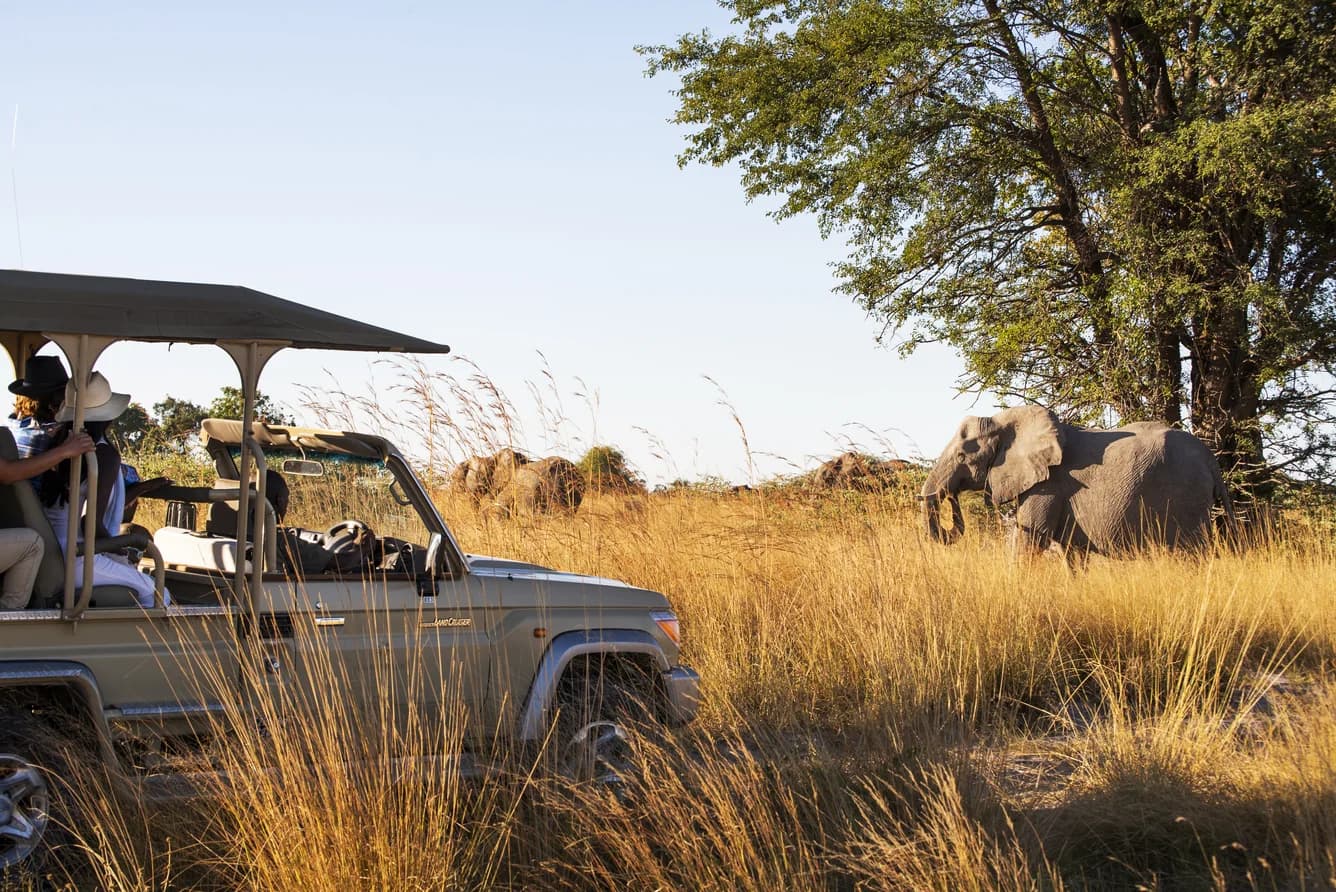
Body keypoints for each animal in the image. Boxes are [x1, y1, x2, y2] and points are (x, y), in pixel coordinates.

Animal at [920, 406, 1235, 558]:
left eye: (962, 455)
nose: (951, 495)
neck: (1003, 421)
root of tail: (1209, 458)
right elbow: (1071, 553)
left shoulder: (1048, 485)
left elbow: (1030, 541)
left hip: (1186, 497)